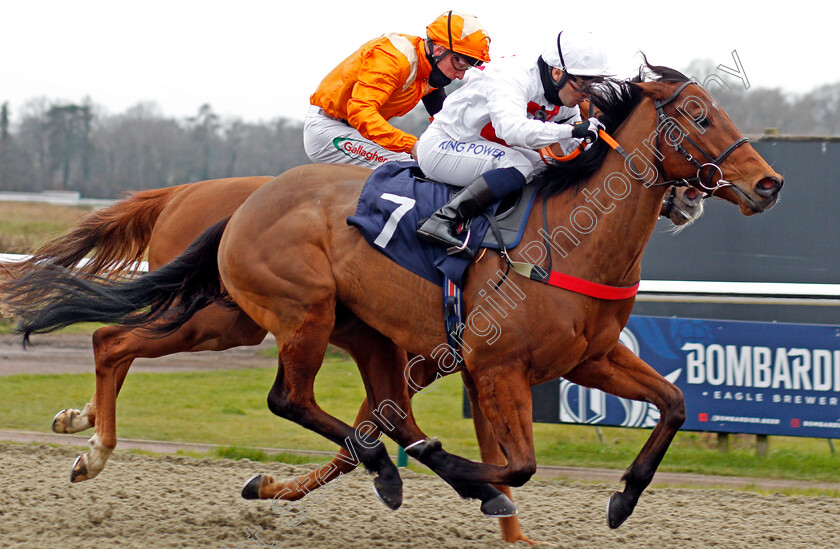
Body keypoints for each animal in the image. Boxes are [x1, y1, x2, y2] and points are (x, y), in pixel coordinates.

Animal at [1, 62, 776, 528]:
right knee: (288, 398)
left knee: (116, 339)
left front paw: (620, 497)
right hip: (293, 313)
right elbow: (515, 464)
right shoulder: (497, 368)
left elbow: (674, 403)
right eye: (701, 116)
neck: (568, 237)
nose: (769, 183)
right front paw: (466, 478)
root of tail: (247, 201)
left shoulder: (589, 358)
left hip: (257, 321)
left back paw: (89, 439)